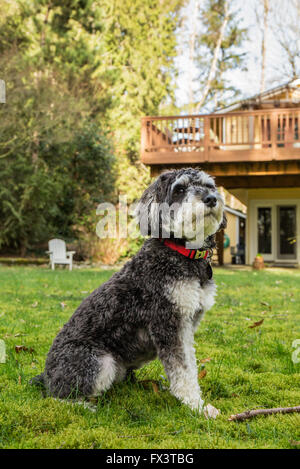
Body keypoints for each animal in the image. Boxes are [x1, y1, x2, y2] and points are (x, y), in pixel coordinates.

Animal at [31, 166, 226, 414]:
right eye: (180, 189)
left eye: (209, 185)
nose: (211, 198)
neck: (182, 252)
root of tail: (46, 375)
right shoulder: (169, 323)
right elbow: (182, 368)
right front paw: (197, 406)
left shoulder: (187, 325)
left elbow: (188, 364)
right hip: (100, 361)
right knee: (56, 395)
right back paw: (82, 405)